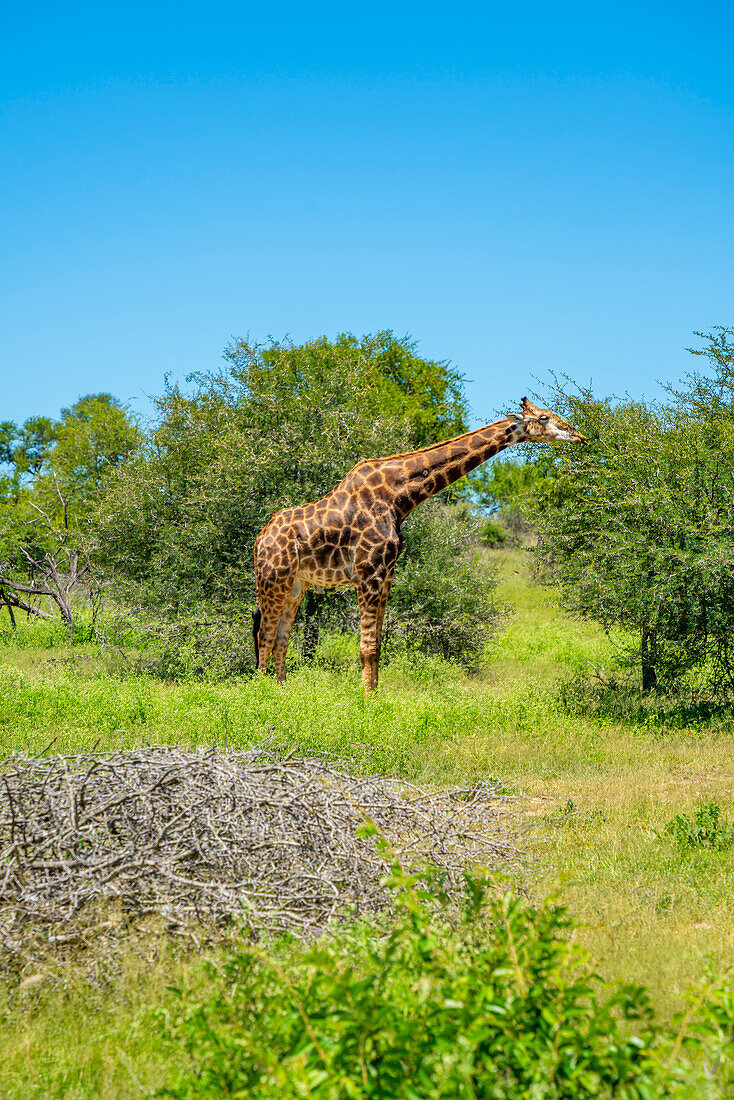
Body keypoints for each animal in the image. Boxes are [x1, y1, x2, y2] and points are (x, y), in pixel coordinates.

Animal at [253, 396, 585, 690]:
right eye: (544, 417)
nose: (579, 435)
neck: (398, 498)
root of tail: (259, 539)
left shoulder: (387, 574)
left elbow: (378, 644)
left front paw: (376, 697)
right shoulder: (369, 573)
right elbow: (366, 646)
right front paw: (366, 701)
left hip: (296, 584)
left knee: (281, 637)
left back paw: (282, 691)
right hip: (273, 579)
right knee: (264, 635)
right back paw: (261, 695)